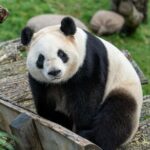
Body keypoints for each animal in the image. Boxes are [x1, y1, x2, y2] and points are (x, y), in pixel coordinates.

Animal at [20, 16, 142, 150]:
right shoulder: (41, 81)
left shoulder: (89, 62)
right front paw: (60, 121)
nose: (54, 72)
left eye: (61, 54)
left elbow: (87, 97)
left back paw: (91, 136)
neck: (60, 81)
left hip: (124, 89)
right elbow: (45, 101)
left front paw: (81, 127)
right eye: (40, 58)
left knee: (117, 115)